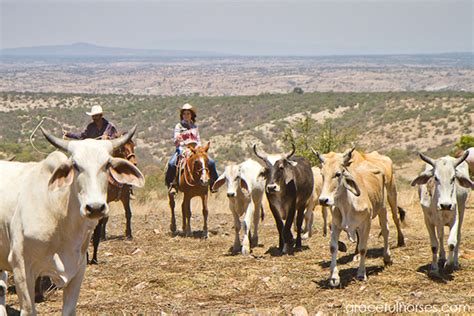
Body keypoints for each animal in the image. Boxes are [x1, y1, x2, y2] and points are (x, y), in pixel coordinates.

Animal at [0, 127, 144, 314]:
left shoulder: (78, 269)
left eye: (107, 164)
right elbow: (29, 309)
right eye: (75, 165)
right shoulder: (21, 268)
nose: (95, 207)